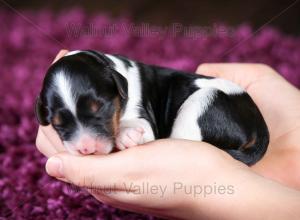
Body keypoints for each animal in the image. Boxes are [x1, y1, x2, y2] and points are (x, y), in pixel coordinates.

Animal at [35, 50, 270, 165]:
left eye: (101, 108)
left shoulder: (143, 117)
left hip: (203, 102)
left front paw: (127, 133)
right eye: (57, 124)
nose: (86, 148)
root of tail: (259, 125)